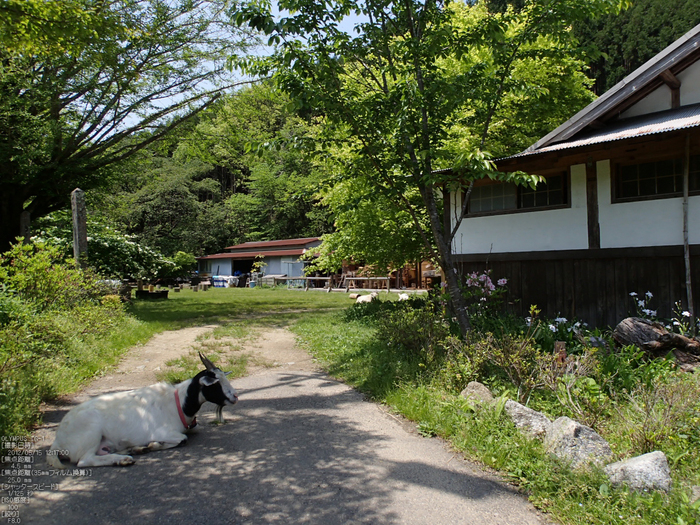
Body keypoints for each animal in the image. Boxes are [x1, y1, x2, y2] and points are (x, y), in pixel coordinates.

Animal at [47, 352, 238, 466]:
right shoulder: (163, 431)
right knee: (84, 461)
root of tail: (58, 440)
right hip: (90, 433)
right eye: (215, 383)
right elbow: (182, 439)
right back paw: (124, 459)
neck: (178, 402)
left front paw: (144, 447)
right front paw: (153, 445)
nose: (235, 396)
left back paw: (130, 450)